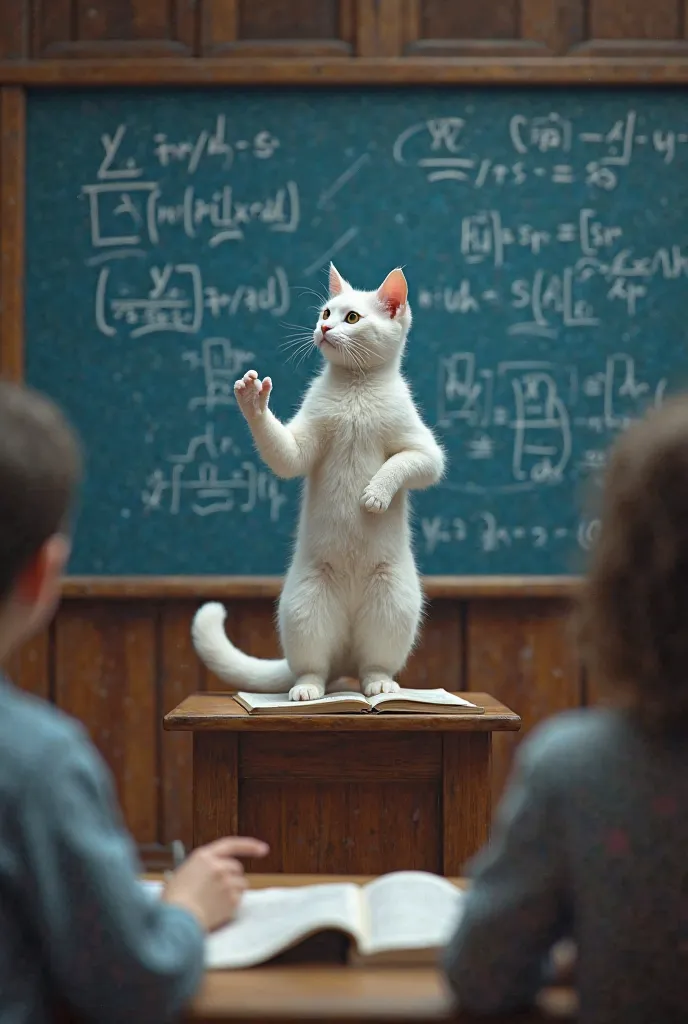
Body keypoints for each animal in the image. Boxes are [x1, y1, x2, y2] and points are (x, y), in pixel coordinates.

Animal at [192, 264, 446, 700]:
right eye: (326, 312)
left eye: (352, 318)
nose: (324, 328)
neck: (356, 389)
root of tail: (346, 656)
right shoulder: (301, 445)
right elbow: (285, 454)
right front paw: (253, 400)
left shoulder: (424, 450)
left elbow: (403, 464)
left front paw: (375, 495)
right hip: (305, 607)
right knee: (313, 668)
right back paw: (307, 690)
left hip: (392, 603)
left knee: (372, 664)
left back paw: (379, 686)